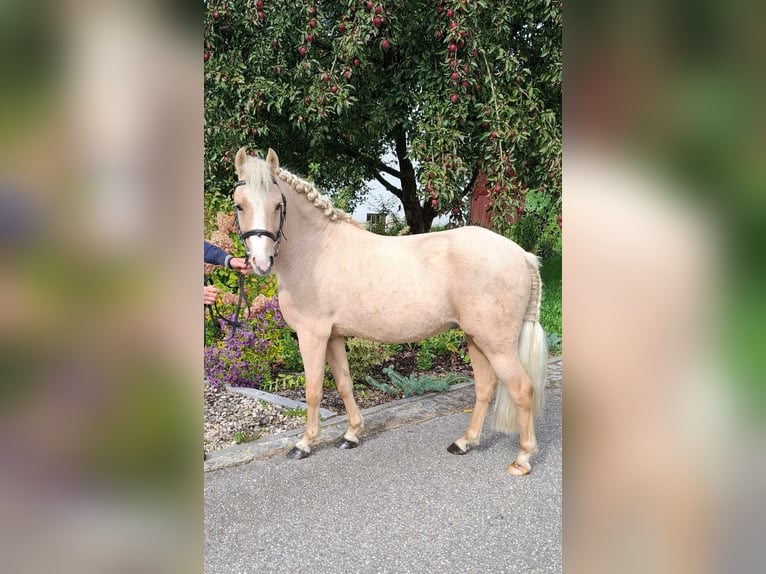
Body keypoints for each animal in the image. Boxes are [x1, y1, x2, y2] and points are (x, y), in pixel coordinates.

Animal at [231, 147, 548, 476]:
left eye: (278, 205)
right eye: (239, 205)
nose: (260, 262)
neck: (316, 250)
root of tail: (521, 255)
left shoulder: (312, 336)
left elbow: (313, 390)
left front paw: (304, 444)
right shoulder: (333, 336)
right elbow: (344, 384)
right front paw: (352, 434)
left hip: (497, 345)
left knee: (523, 389)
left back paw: (522, 459)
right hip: (476, 339)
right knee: (486, 387)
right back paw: (464, 442)